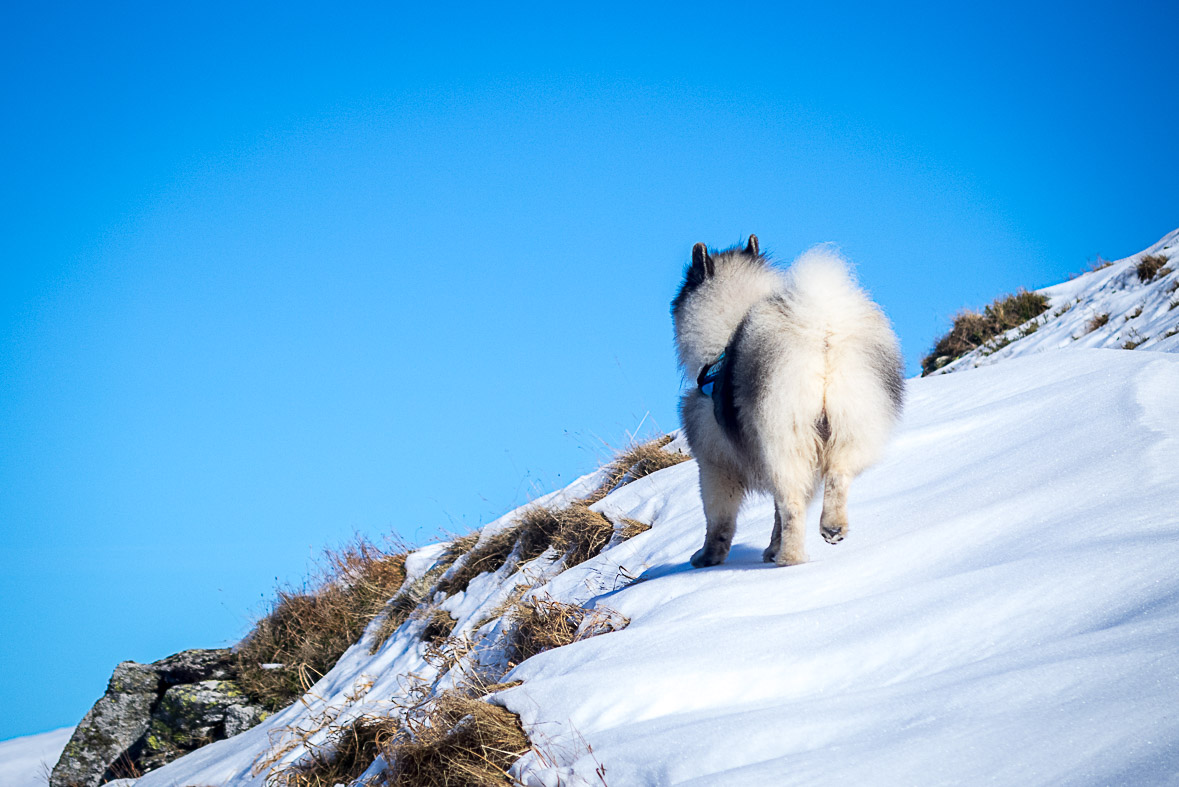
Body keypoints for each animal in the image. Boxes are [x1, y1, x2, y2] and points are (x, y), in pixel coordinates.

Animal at [674, 233, 900, 565]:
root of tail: (820, 330)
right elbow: (777, 515)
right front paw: (770, 548)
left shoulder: (714, 464)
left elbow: (719, 519)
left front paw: (708, 557)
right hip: (852, 424)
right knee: (837, 478)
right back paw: (832, 527)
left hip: (786, 439)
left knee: (792, 504)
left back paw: (790, 558)